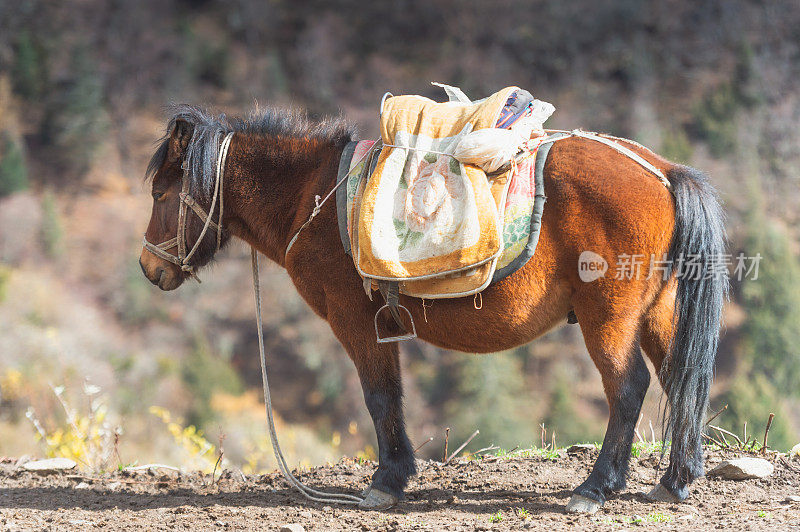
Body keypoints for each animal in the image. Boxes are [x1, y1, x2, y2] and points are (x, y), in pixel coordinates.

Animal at [141, 102, 728, 512]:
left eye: (162, 194)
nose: (149, 268)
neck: (315, 196)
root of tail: (662, 170)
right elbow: (392, 395)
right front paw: (398, 474)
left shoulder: (355, 322)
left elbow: (379, 396)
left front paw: (386, 481)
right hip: (655, 315)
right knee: (678, 379)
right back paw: (675, 480)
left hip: (609, 318)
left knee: (629, 388)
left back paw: (596, 488)